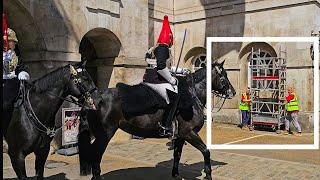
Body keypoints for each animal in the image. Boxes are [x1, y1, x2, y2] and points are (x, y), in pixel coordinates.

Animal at [78, 60, 236, 180]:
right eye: (223, 76)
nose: (233, 92)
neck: (192, 95)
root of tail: (92, 98)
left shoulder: (180, 136)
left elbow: (177, 154)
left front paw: (176, 174)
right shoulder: (189, 133)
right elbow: (206, 151)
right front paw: (208, 175)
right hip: (104, 135)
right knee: (96, 156)